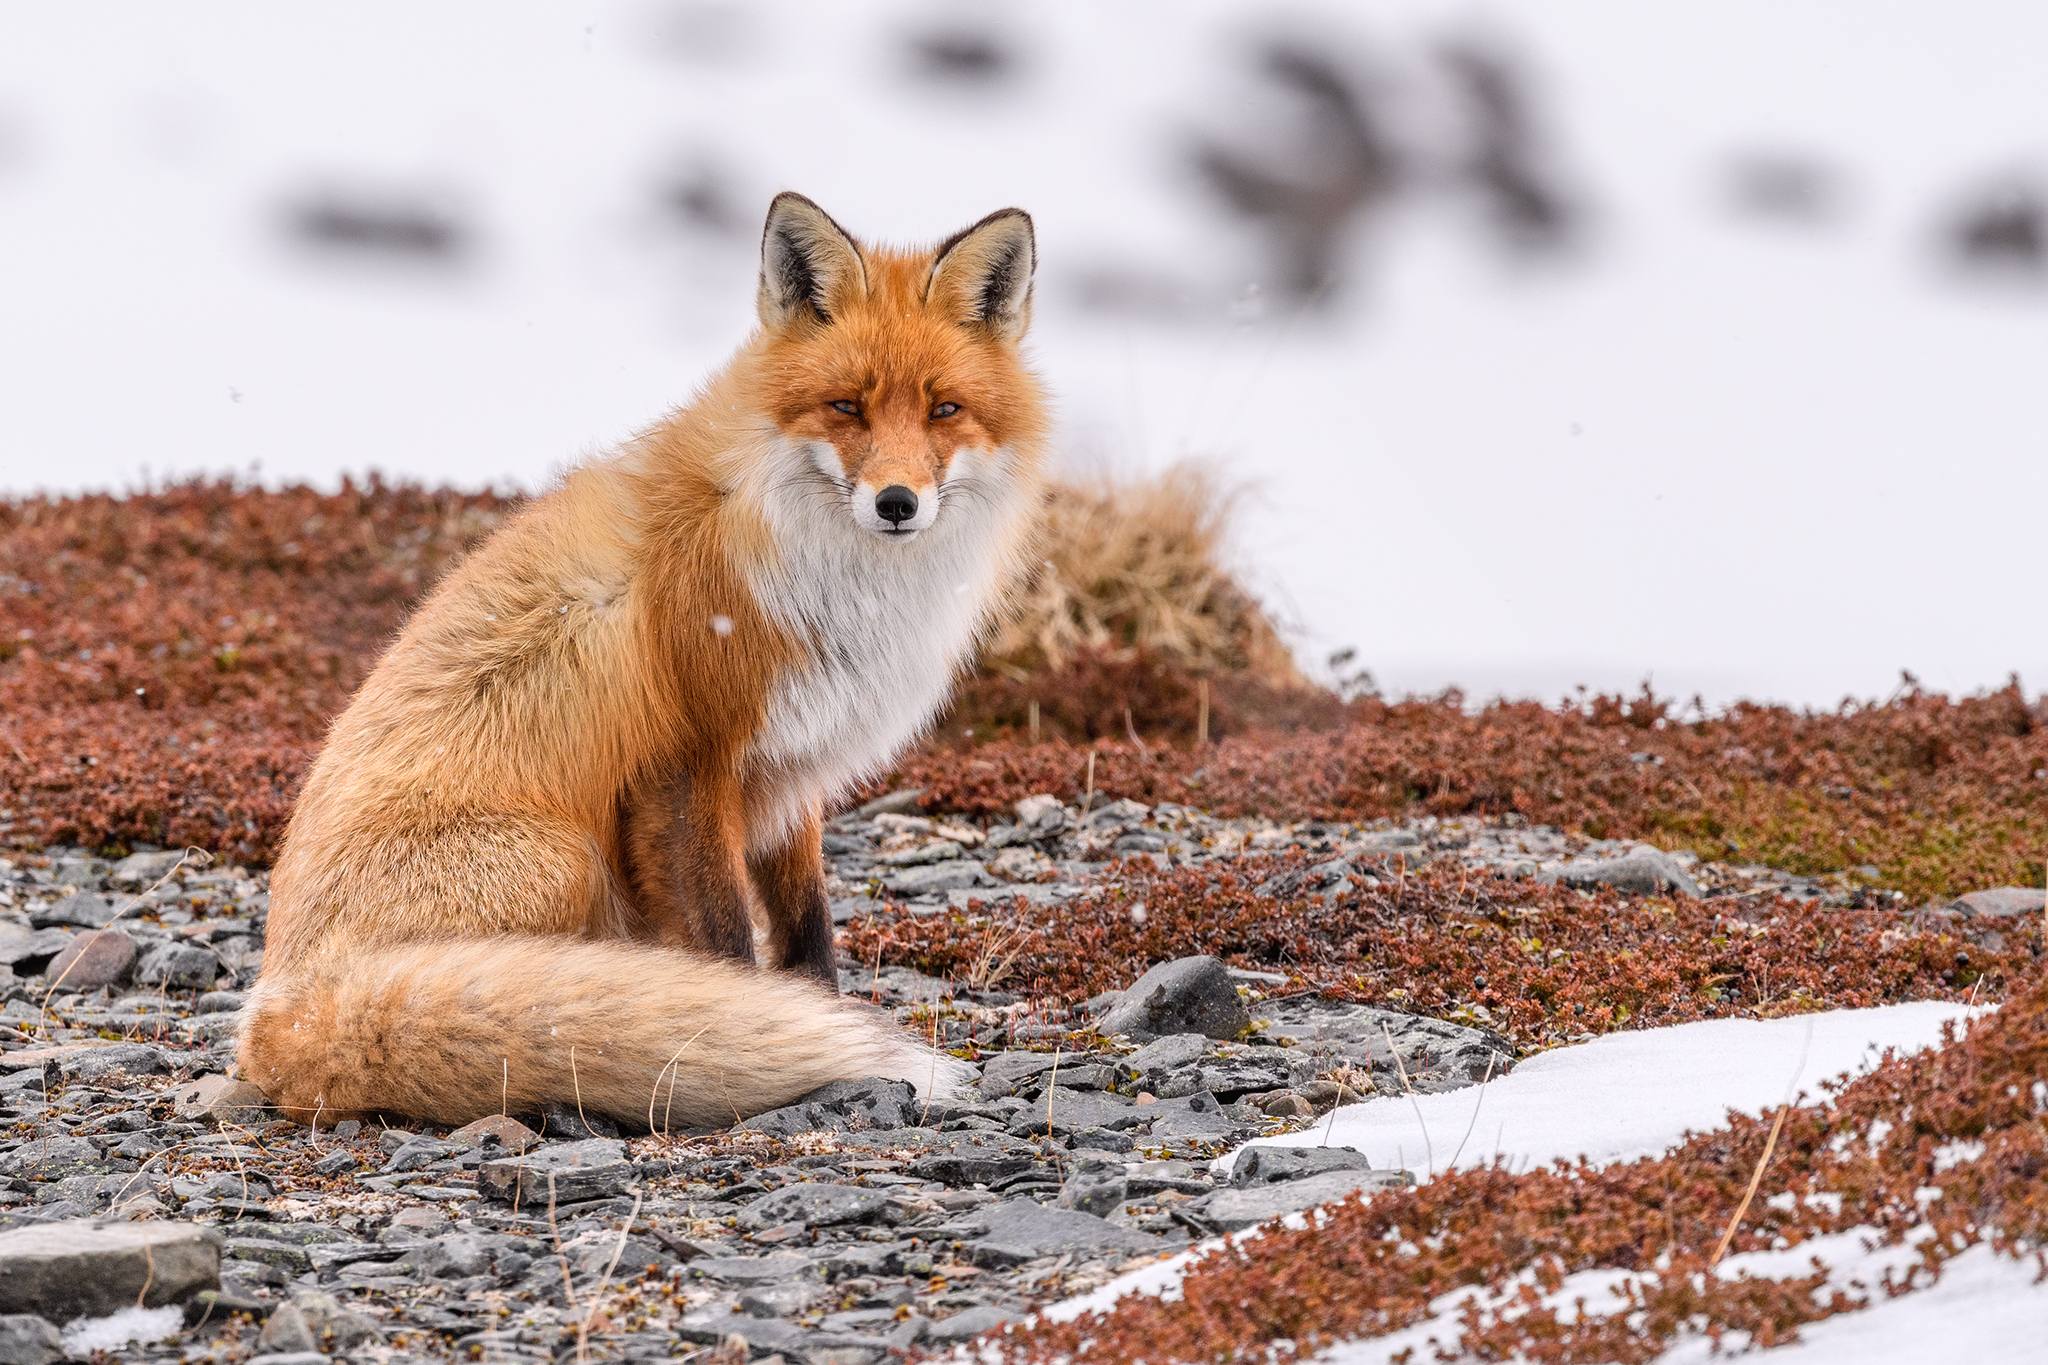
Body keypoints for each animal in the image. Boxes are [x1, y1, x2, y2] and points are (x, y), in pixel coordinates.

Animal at [238, 193, 1048, 1130]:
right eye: (846, 406)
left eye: (944, 409)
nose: (896, 503)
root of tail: (277, 1012)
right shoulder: (687, 764)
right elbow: (728, 939)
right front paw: (755, 1020)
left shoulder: (791, 764)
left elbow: (807, 926)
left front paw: (816, 1014)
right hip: (561, 858)